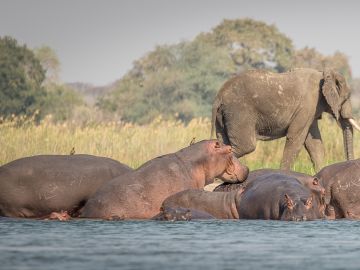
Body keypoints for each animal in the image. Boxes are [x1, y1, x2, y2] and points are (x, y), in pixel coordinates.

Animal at [211, 68, 360, 172]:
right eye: (347, 97)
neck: (324, 73)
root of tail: (219, 96)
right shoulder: (307, 106)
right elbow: (296, 138)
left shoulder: (311, 110)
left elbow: (314, 143)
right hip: (239, 112)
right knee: (246, 146)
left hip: (223, 116)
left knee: (224, 142)